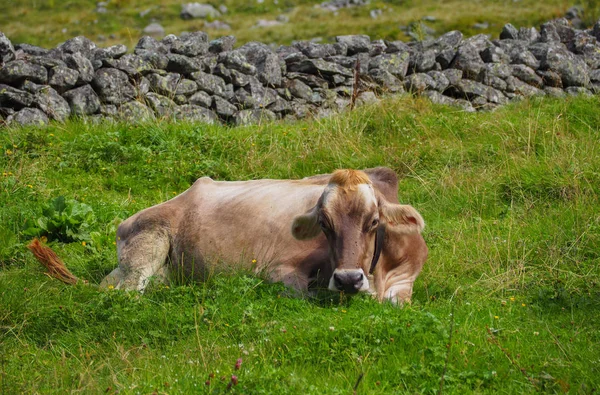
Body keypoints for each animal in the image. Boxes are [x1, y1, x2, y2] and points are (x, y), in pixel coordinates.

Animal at [30, 169, 428, 304]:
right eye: (324, 225)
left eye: (374, 222)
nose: (347, 279)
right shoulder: (279, 270)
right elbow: (305, 295)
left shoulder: (404, 280)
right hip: (147, 246)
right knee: (124, 293)